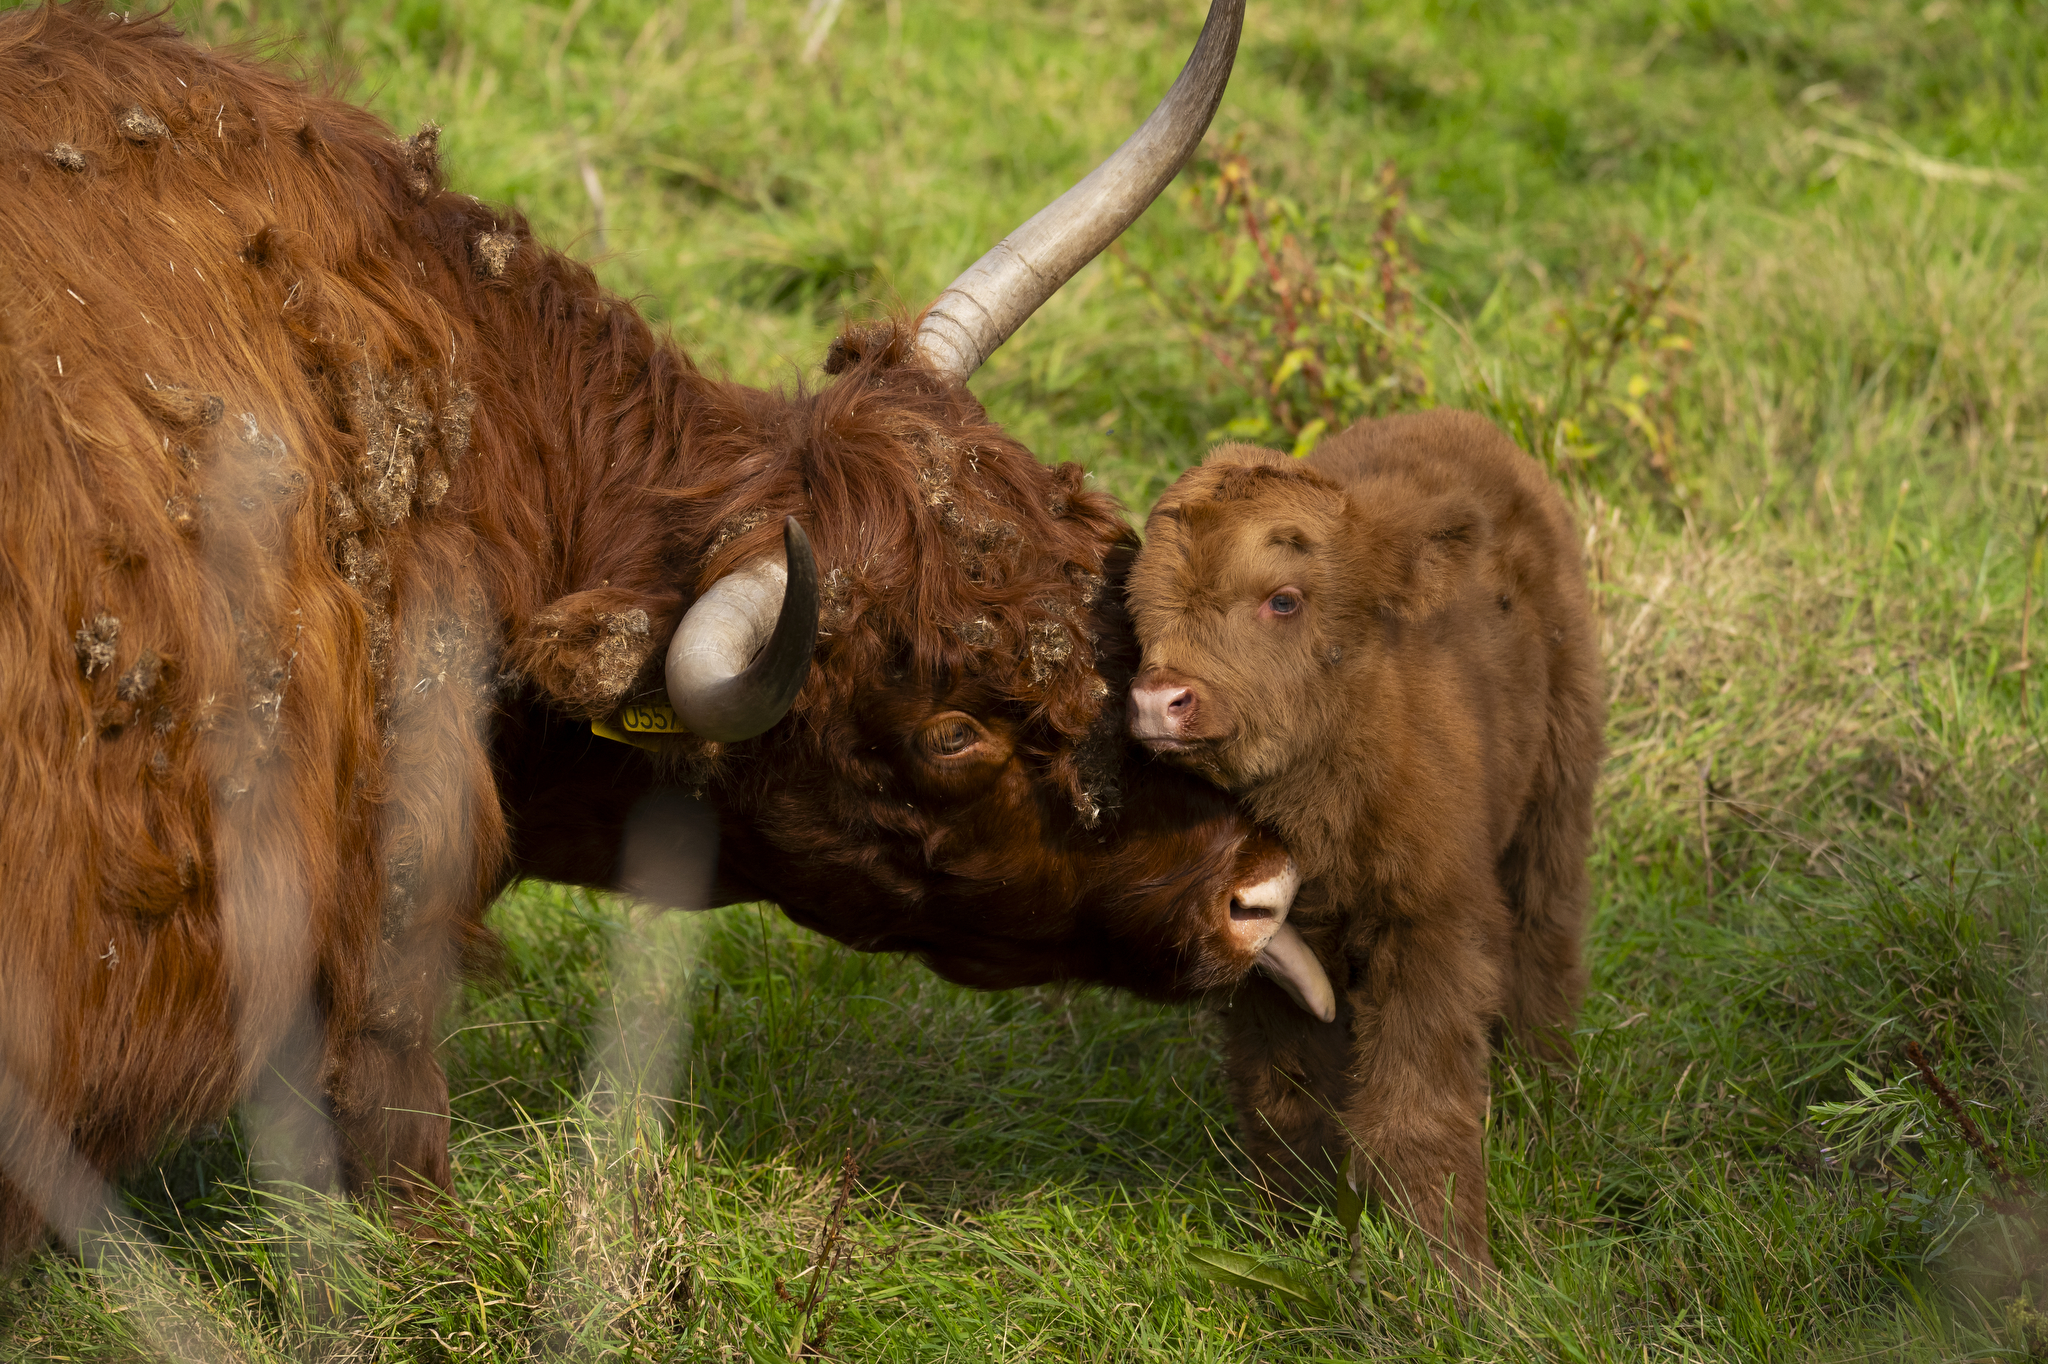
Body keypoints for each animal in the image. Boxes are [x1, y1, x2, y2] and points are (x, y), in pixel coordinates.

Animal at [1124, 414, 1605, 1290]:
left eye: (1284, 599)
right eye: (1138, 612)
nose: (1159, 700)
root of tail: (1458, 420)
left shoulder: (1432, 927)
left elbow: (1416, 1108)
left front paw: (1449, 1275)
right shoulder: (1261, 949)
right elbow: (1286, 1095)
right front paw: (1293, 1230)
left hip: (1558, 781)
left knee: (1546, 935)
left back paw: (1545, 1092)